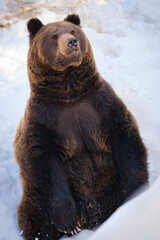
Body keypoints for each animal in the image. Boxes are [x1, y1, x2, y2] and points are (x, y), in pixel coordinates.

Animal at [14, 13, 149, 240]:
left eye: (73, 30)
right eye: (53, 35)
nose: (71, 42)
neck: (70, 93)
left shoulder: (101, 108)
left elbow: (125, 138)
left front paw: (135, 194)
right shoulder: (44, 121)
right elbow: (44, 163)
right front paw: (69, 223)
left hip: (108, 184)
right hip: (34, 198)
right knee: (36, 221)